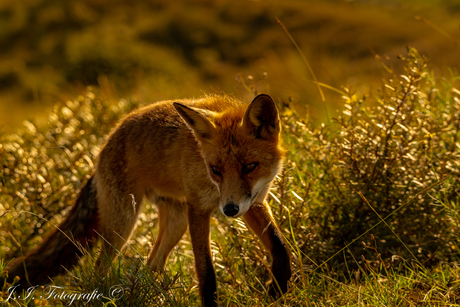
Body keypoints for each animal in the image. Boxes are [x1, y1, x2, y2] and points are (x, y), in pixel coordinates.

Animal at [1, 94, 292, 307]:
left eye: (249, 166)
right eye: (216, 170)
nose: (229, 211)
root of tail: (103, 145)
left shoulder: (253, 203)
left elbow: (280, 246)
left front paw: (278, 289)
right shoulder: (199, 209)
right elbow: (206, 272)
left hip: (175, 223)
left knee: (152, 265)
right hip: (123, 224)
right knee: (100, 269)